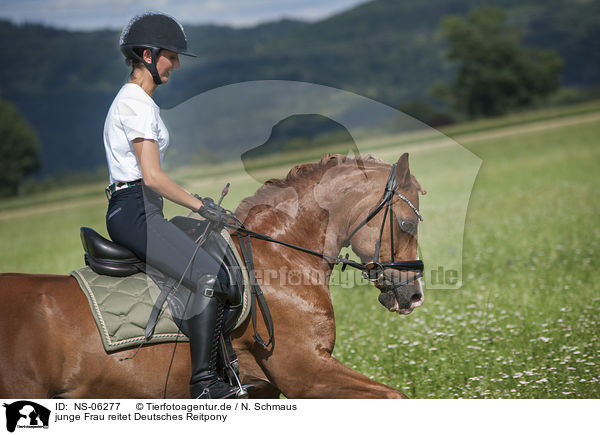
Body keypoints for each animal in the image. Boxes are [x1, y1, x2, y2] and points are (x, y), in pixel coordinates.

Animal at [0, 153, 424, 398]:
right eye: (407, 223)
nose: (414, 295)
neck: (278, 257)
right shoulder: (304, 372)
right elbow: (395, 396)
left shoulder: (267, 388)